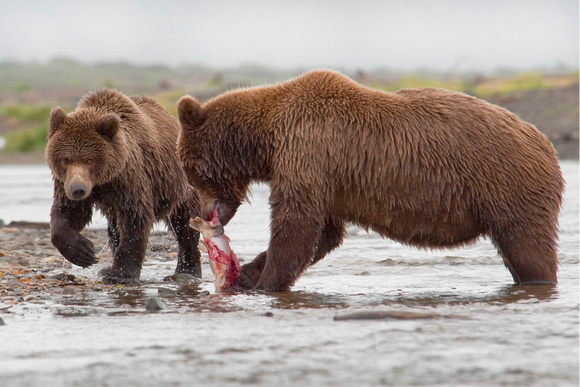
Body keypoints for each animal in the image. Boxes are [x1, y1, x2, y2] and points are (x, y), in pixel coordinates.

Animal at [45, 89, 201, 284]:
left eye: (90, 159)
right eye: (66, 159)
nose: (78, 189)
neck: (103, 181)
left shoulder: (130, 179)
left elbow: (135, 218)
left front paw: (121, 274)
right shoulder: (66, 182)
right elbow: (69, 212)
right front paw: (83, 252)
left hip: (179, 186)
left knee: (186, 226)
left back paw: (187, 270)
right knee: (114, 230)